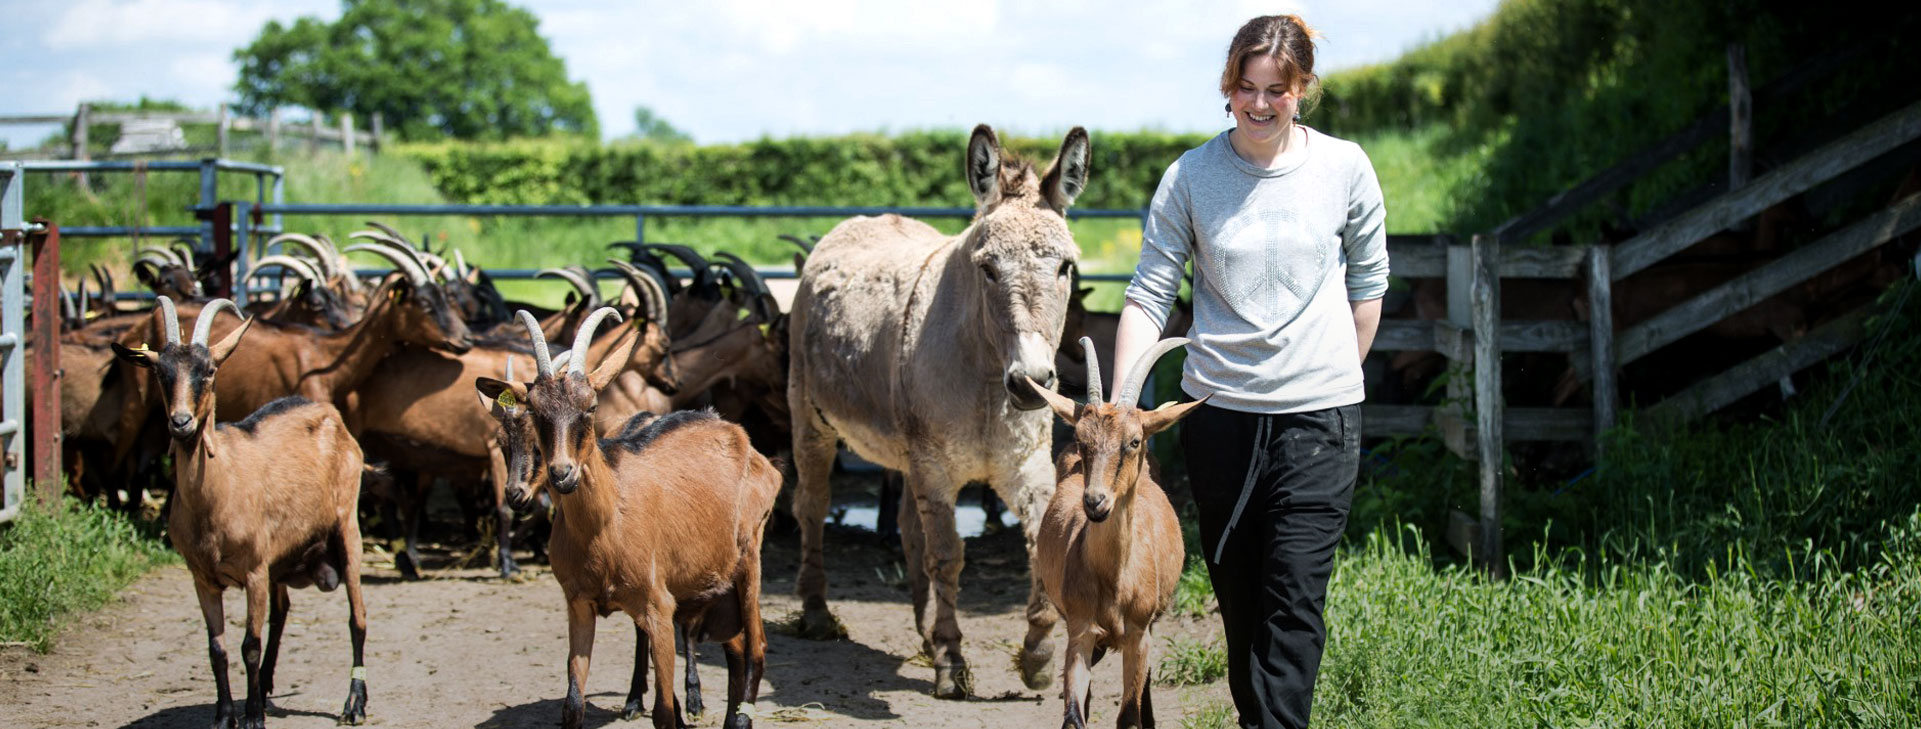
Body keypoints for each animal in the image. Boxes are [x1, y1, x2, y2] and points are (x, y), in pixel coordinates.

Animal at [110, 296, 368, 729]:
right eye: (160, 372)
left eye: (210, 371)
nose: (181, 422)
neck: (217, 494)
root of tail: (331, 415)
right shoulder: (202, 578)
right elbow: (217, 648)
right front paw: (225, 715)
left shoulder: (254, 571)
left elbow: (249, 643)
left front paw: (251, 718)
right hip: (282, 558)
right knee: (281, 614)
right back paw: (264, 688)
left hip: (346, 526)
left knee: (357, 616)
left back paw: (355, 702)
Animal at [474, 307, 779, 729]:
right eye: (535, 411)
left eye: (590, 407)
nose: (562, 474)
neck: (605, 527)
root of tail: (740, 437)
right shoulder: (579, 603)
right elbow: (573, 704)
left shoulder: (658, 607)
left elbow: (664, 712)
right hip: (714, 580)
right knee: (734, 647)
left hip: (749, 557)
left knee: (756, 647)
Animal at [1029, 340, 1191, 729]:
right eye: (1080, 438)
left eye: (1133, 441)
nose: (1095, 502)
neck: (1115, 580)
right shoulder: (1080, 629)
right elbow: (1074, 714)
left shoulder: (1138, 633)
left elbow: (1130, 713)